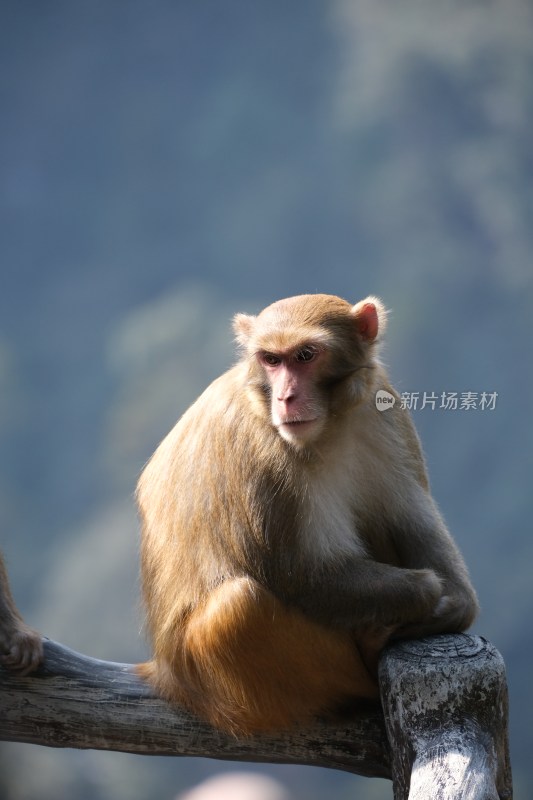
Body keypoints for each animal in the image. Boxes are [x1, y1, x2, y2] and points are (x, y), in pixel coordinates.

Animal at [136, 290, 478, 736]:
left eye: (305, 355)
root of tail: (165, 674)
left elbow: (410, 515)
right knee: (238, 607)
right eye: (271, 359)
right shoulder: (263, 453)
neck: (331, 426)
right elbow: (297, 573)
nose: (286, 398)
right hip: (225, 689)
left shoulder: (382, 406)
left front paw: (456, 603)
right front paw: (428, 593)